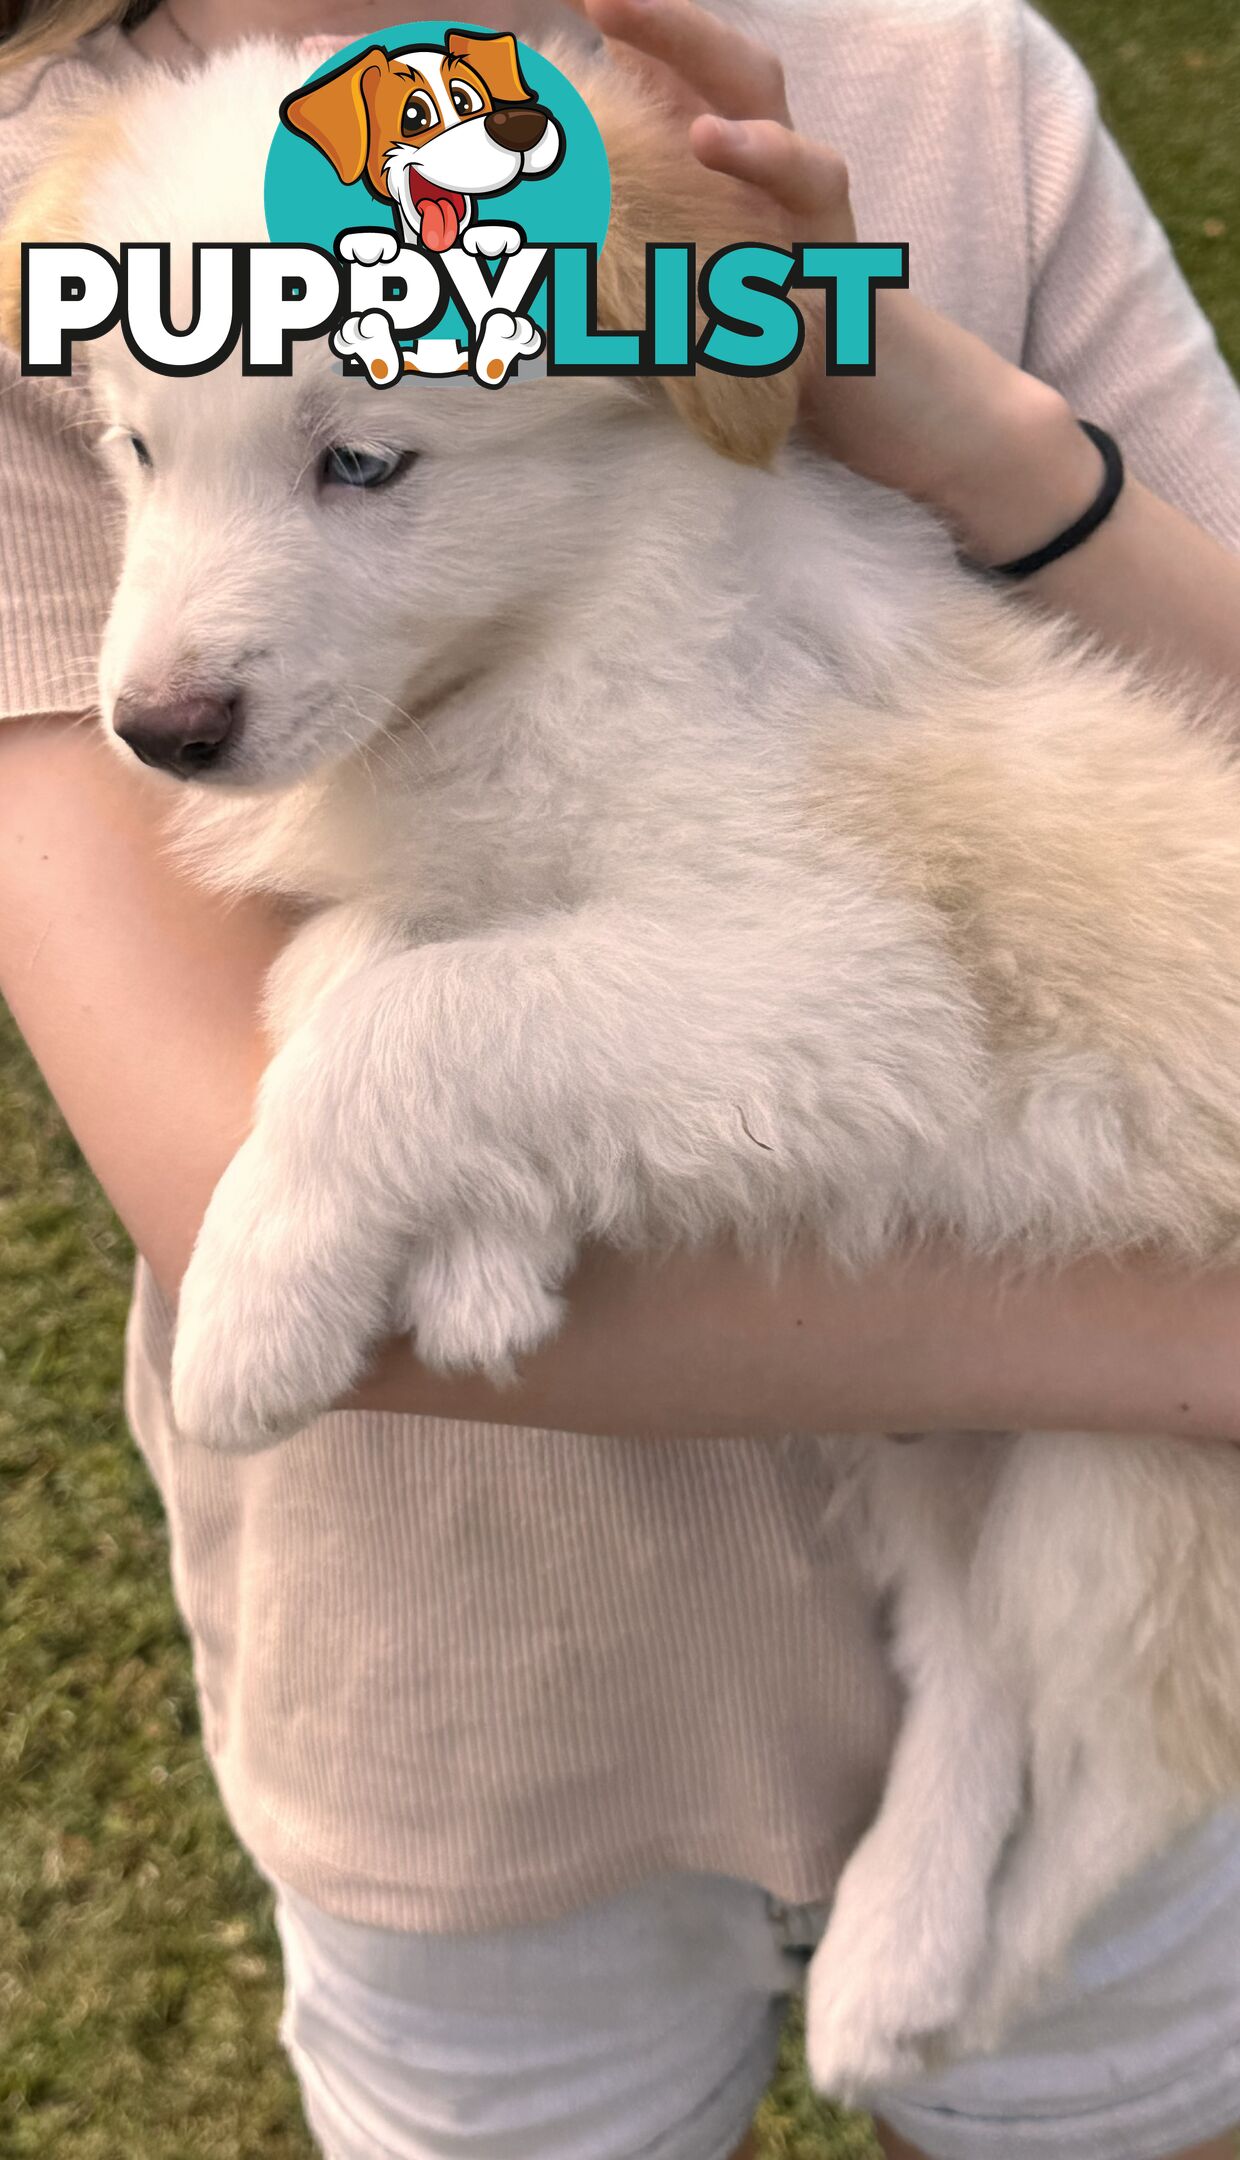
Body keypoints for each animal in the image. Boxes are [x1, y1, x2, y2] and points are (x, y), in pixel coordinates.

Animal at [9, 38, 1240, 2108]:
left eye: (365, 463)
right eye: (141, 453)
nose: (159, 736)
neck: (547, 640)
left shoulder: (847, 979)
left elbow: (433, 1018)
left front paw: (262, 1314)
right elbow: (368, 980)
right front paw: (483, 1268)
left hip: (1131, 1483)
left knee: (1116, 1783)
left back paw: (955, 2000)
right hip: (951, 1445)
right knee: (978, 1682)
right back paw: (888, 1963)